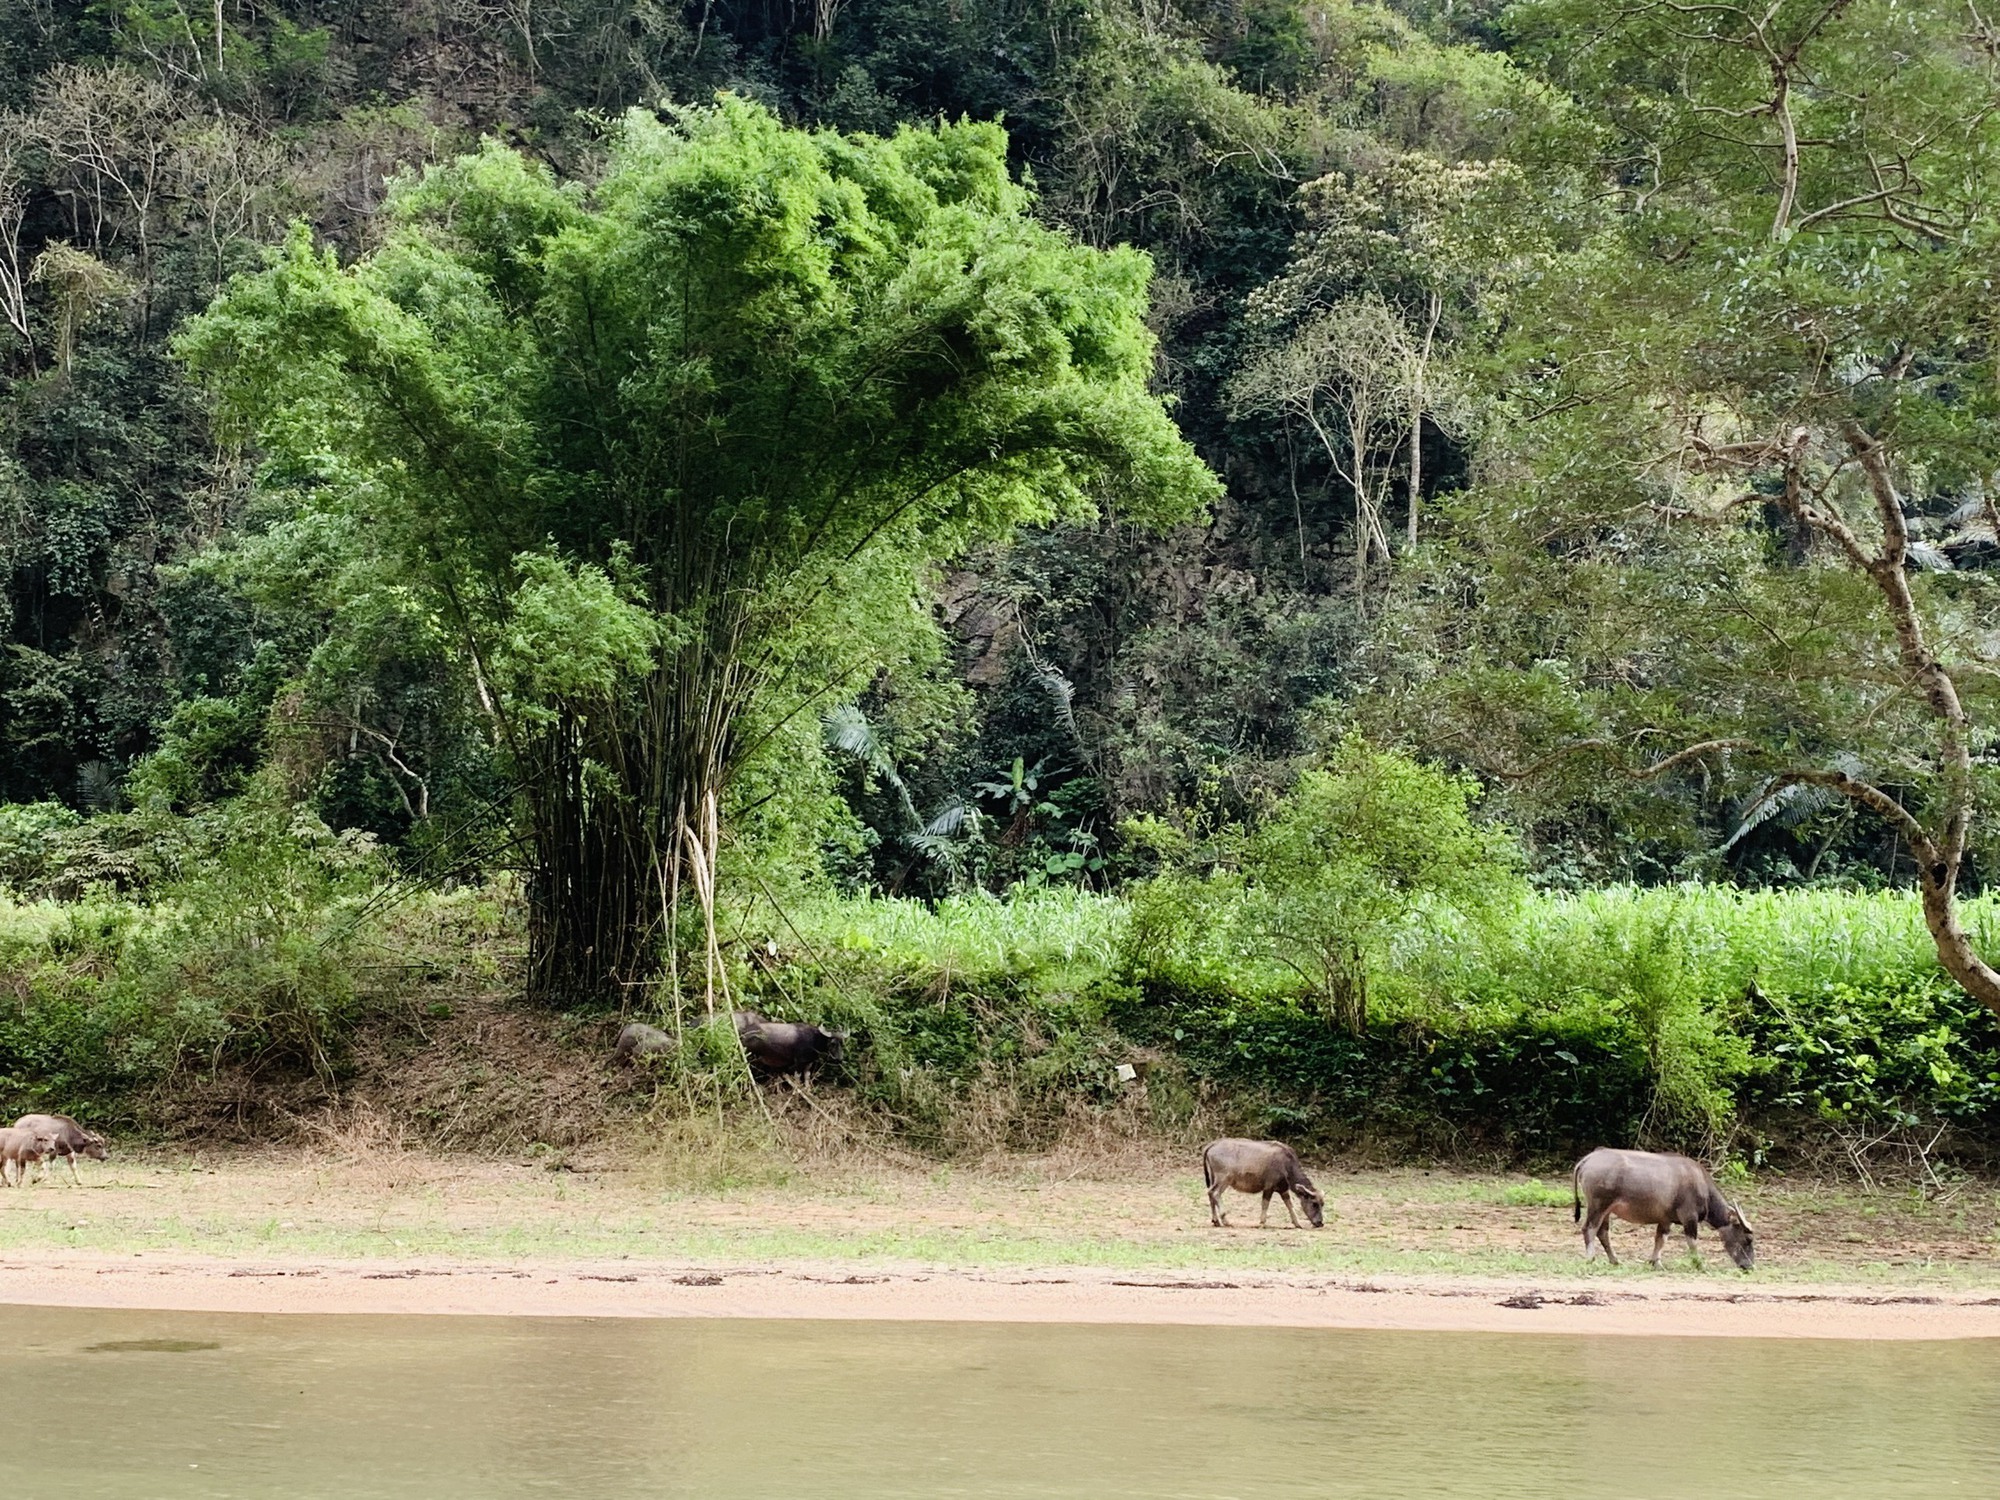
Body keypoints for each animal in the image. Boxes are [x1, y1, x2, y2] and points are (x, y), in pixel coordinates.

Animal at [1200, 1136, 1328, 1232]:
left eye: (1322, 1204)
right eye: (1314, 1204)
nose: (1320, 1223)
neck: (1287, 1165)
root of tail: (1212, 1145)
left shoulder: (1283, 1189)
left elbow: (1289, 1205)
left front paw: (1297, 1223)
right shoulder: (1269, 1187)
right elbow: (1265, 1204)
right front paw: (1262, 1222)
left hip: (1213, 1178)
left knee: (1210, 1194)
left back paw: (1216, 1220)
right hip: (1224, 1179)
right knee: (1215, 1193)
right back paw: (1225, 1220)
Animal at [1576, 1152, 1752, 1272]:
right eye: (1748, 1239)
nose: (1749, 1266)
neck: (1701, 1185)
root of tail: (1589, 1159)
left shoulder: (1665, 1220)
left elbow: (1660, 1239)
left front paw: (1656, 1262)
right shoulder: (1689, 1217)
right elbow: (1692, 1242)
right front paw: (1699, 1264)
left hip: (1606, 1210)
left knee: (1603, 1232)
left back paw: (1615, 1260)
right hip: (1598, 1206)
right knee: (1589, 1229)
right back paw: (1590, 1258)